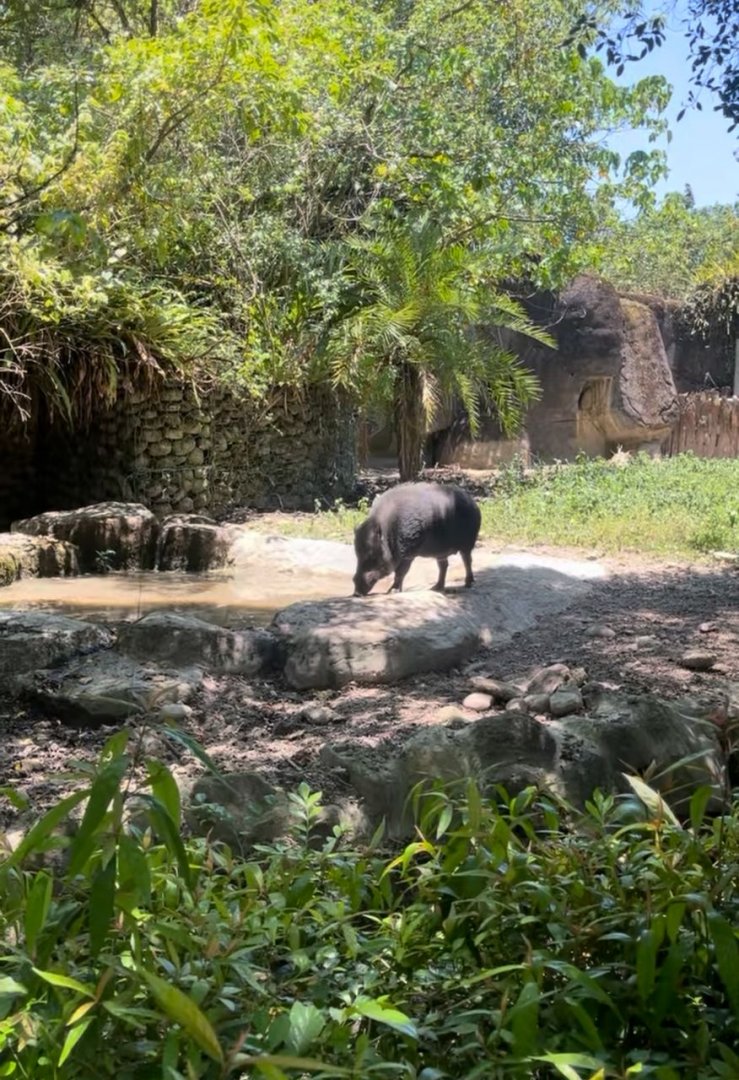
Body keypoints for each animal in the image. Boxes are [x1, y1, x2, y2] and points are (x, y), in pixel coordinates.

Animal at [353, 482, 481, 596]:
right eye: (357, 554)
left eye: (373, 556)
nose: (356, 593)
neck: (389, 532)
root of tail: (473, 502)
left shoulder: (409, 553)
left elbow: (401, 572)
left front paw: (391, 592)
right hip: (441, 552)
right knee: (443, 566)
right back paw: (435, 588)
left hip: (467, 544)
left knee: (467, 560)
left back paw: (468, 584)